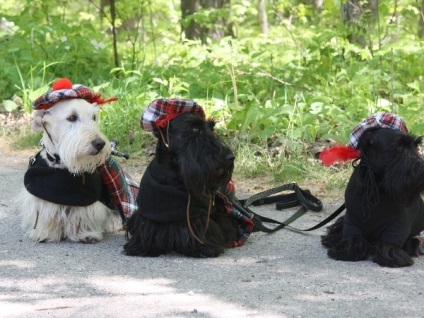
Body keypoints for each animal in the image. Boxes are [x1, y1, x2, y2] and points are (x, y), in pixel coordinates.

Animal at [124, 99, 242, 258]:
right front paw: (141, 248)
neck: (174, 177)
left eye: (211, 128)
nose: (230, 158)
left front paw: (204, 248)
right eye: (195, 129)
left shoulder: (198, 218)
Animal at [322, 128, 424, 268]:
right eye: (400, 147)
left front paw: (391, 259)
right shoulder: (352, 219)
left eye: (416, 146)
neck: (377, 184)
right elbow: (352, 237)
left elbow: (389, 243)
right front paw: (346, 252)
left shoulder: (398, 226)